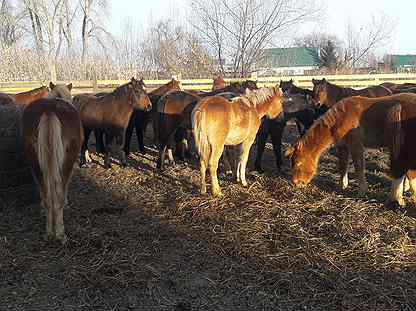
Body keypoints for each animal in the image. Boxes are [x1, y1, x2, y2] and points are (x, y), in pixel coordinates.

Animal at [21, 82, 83, 244]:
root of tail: (50, 110)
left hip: (34, 159)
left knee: (47, 194)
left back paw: (49, 231)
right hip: (67, 160)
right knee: (59, 192)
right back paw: (60, 233)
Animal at [284, 94, 416, 207]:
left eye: (298, 163)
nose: (295, 183)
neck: (341, 118)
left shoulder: (355, 145)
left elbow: (358, 167)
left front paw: (361, 191)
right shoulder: (342, 147)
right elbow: (343, 166)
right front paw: (342, 186)